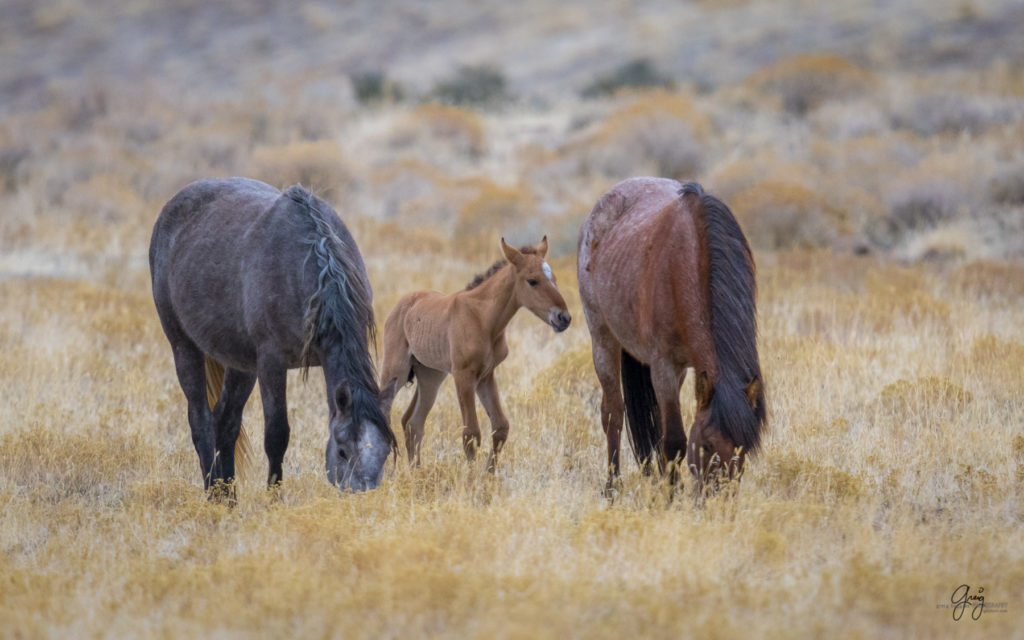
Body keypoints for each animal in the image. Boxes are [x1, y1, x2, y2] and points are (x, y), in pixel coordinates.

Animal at [149, 177, 397, 491]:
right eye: (342, 451)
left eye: (385, 451)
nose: (364, 494)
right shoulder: (271, 363)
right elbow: (277, 435)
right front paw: (274, 497)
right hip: (184, 347)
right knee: (200, 422)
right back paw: (212, 494)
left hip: (240, 364)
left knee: (225, 422)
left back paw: (226, 496)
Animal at [380, 234, 573, 468]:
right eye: (533, 280)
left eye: (554, 278)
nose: (563, 318)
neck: (483, 318)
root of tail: (401, 304)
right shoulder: (463, 374)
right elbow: (471, 433)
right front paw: (471, 476)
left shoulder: (486, 375)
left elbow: (500, 426)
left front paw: (488, 474)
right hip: (396, 370)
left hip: (431, 375)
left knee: (412, 423)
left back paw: (415, 471)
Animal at [581, 177, 765, 491]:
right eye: (706, 446)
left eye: (743, 450)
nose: (718, 498)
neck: (687, 265)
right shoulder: (664, 365)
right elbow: (676, 441)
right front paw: (671, 495)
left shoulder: (677, 370)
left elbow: (666, 433)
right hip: (603, 341)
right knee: (613, 414)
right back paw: (613, 486)